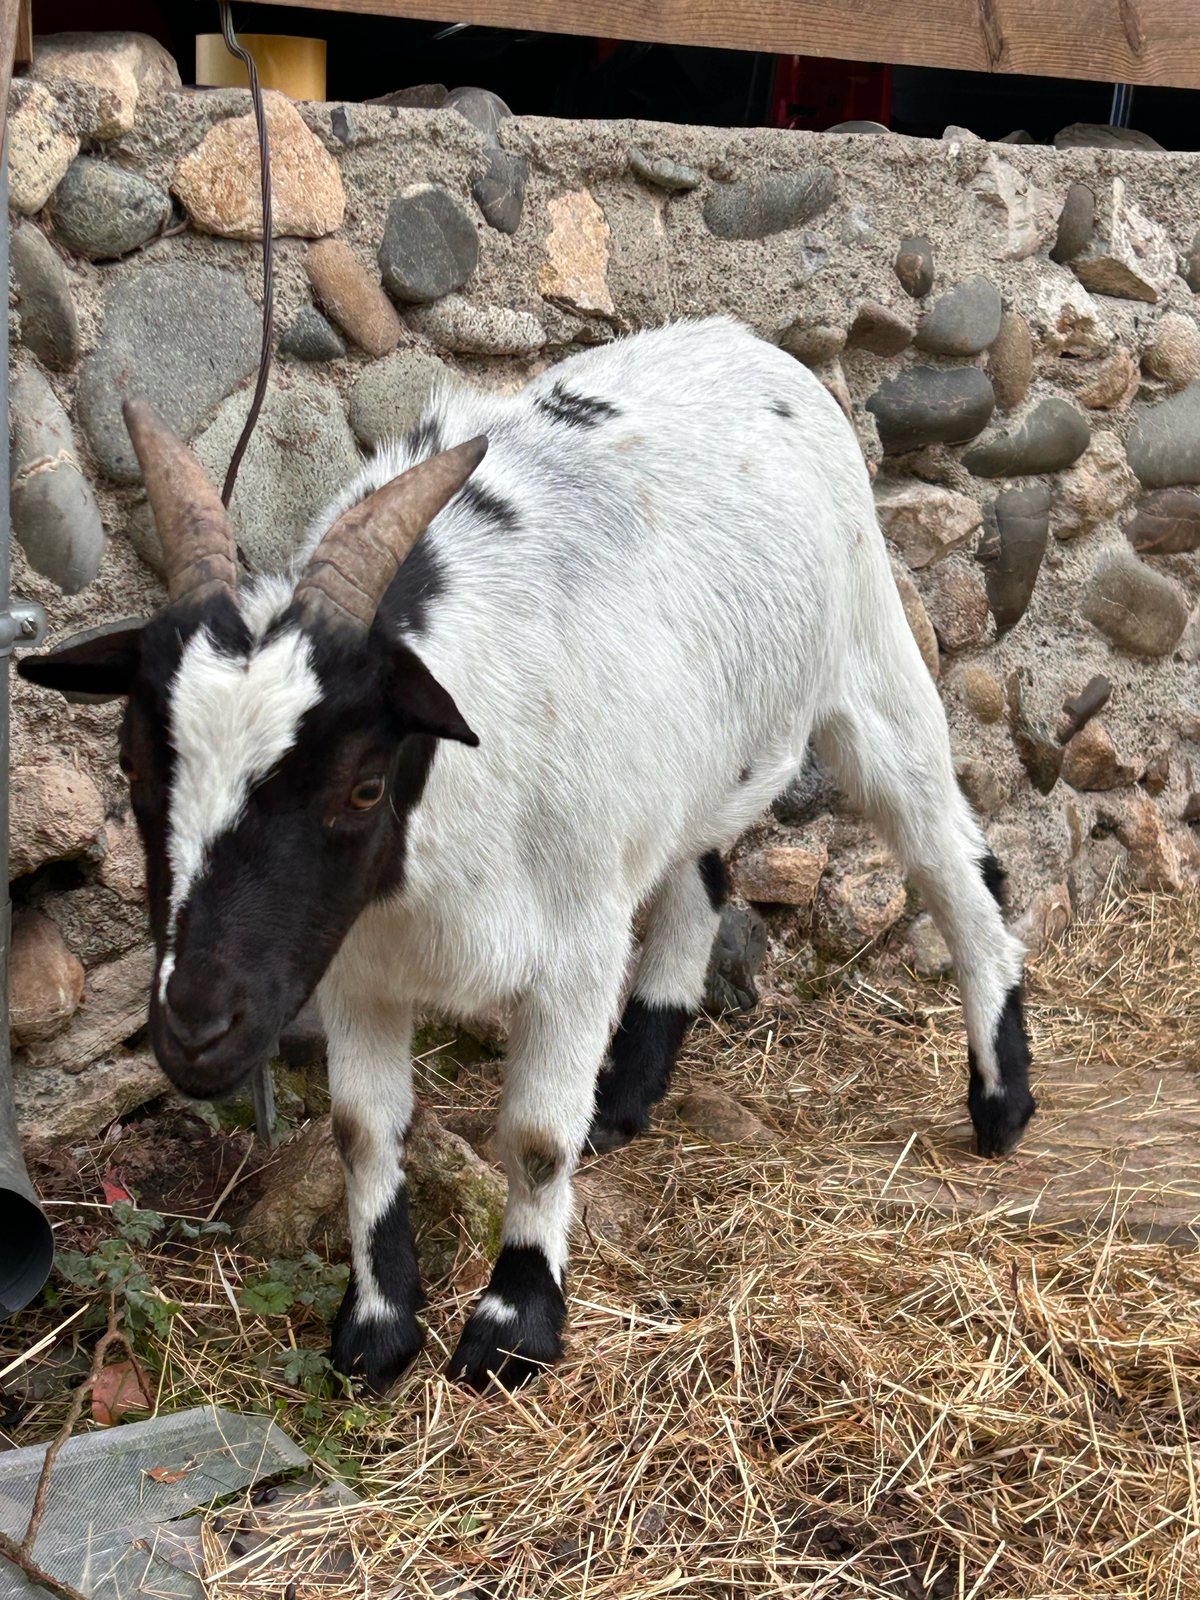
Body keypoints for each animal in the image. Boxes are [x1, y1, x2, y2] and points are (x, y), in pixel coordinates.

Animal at [21, 318, 1035, 1392]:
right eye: (133, 762)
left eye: (364, 786)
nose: (194, 1031)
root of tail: (743, 340)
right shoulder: (353, 968)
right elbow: (362, 1132)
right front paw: (378, 1327)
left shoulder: (574, 949)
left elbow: (539, 1140)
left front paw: (513, 1327)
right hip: (685, 763)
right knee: (700, 872)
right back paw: (626, 1095)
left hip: (872, 664)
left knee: (955, 865)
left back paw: (1002, 1100)